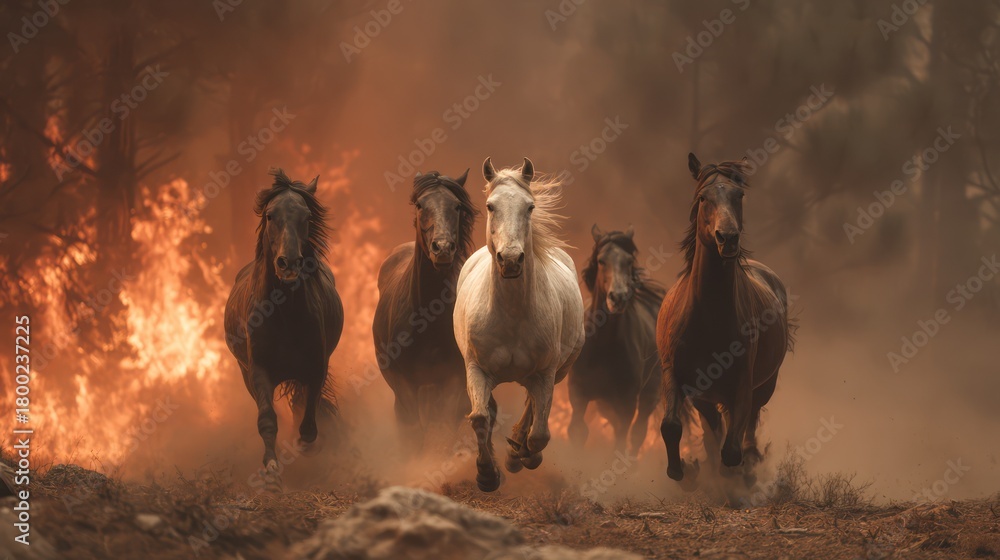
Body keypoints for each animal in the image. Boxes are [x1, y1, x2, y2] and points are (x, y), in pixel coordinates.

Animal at [224, 169, 344, 486]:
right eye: (269, 215)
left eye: (306, 216)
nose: (288, 263)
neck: (284, 314)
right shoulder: (258, 370)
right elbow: (267, 417)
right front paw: (271, 470)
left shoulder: (316, 367)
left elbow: (309, 414)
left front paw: (307, 445)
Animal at [373, 169, 479, 451]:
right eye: (421, 205)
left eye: (456, 206)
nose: (442, 249)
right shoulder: (404, 383)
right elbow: (413, 431)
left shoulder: (454, 381)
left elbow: (443, 428)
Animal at [453, 157, 585, 492]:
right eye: (490, 206)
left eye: (530, 207)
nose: (511, 260)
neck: (511, 316)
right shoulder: (476, 368)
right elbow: (480, 418)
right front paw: (487, 475)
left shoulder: (545, 372)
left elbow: (539, 434)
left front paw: (521, 455)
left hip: (556, 371)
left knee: (532, 406)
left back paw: (517, 451)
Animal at [568, 225, 666, 455]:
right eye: (601, 260)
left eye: (629, 260)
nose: (618, 297)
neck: (604, 345)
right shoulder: (578, 396)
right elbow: (577, 431)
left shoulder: (627, 403)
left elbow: (621, 441)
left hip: (648, 395)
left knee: (638, 433)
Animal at [656, 154, 794, 487]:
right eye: (703, 198)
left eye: (739, 195)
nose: (727, 238)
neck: (708, 319)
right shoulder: (675, 375)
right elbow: (671, 426)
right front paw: (682, 471)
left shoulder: (743, 383)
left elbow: (732, 448)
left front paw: (732, 473)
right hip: (705, 397)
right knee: (713, 427)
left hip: (764, 386)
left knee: (746, 428)